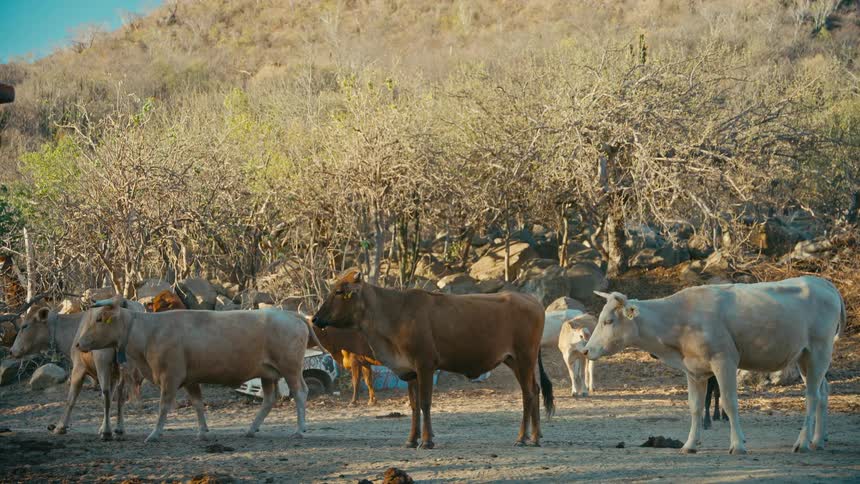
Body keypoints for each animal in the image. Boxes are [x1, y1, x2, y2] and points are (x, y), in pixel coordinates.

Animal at [9, 300, 145, 440]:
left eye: (24, 326)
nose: (11, 351)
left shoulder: (79, 367)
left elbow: (71, 399)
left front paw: (60, 427)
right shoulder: (114, 372)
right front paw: (104, 428)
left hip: (102, 360)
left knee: (106, 393)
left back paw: (107, 432)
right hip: (128, 365)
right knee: (121, 394)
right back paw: (119, 429)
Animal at [75, 296, 310, 443]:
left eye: (99, 319)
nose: (78, 343)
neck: (149, 331)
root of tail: (291, 316)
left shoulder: (170, 377)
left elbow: (163, 406)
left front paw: (155, 433)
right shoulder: (190, 379)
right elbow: (197, 403)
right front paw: (203, 432)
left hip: (290, 368)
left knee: (299, 393)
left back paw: (300, 430)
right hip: (267, 373)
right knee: (269, 399)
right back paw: (251, 429)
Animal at [312, 269, 554, 448]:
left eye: (339, 291)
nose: (315, 318)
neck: (394, 314)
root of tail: (532, 300)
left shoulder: (425, 365)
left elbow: (425, 403)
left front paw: (426, 441)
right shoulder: (409, 370)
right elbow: (413, 405)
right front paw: (411, 439)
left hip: (524, 357)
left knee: (528, 393)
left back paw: (522, 438)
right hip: (515, 360)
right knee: (535, 390)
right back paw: (536, 436)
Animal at [584, 276, 845, 454]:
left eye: (608, 321)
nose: (586, 350)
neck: (681, 318)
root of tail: (822, 282)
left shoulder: (724, 361)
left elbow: (729, 403)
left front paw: (738, 444)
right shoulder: (693, 370)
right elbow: (695, 407)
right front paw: (690, 444)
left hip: (819, 351)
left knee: (812, 396)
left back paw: (802, 442)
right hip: (804, 357)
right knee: (823, 392)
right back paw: (818, 440)